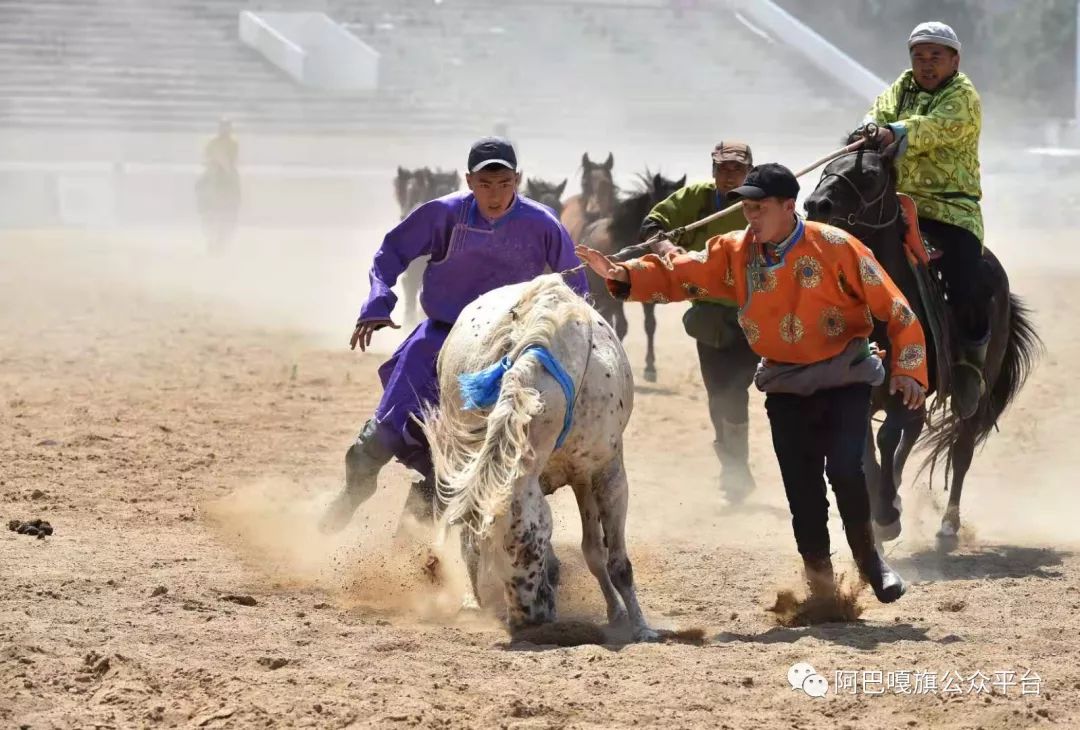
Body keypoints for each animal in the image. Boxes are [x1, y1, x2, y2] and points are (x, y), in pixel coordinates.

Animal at [807, 143, 1041, 542]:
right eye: (829, 168)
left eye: (869, 174)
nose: (815, 204)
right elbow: (868, 445)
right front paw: (880, 506)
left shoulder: (906, 391)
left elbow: (886, 437)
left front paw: (886, 515)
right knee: (914, 434)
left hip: (974, 395)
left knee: (961, 449)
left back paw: (948, 521)